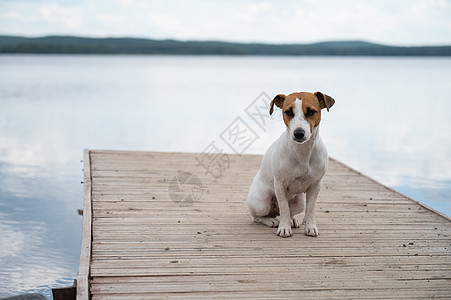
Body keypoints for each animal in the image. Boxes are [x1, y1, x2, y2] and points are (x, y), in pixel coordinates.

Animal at [247, 91, 336, 237]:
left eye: (311, 112)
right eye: (288, 112)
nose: (298, 133)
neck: (302, 152)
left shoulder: (316, 185)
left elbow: (310, 208)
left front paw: (310, 226)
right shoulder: (280, 185)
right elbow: (284, 207)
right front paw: (284, 227)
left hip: (299, 202)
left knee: (292, 211)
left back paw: (292, 220)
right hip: (261, 203)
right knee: (258, 217)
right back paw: (271, 220)